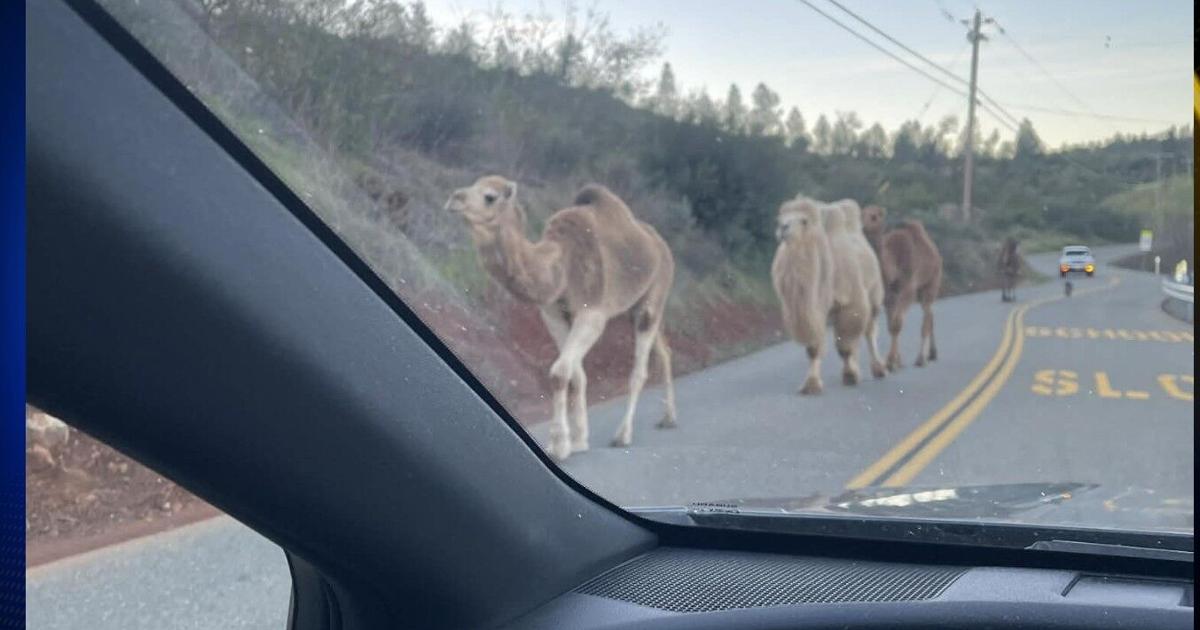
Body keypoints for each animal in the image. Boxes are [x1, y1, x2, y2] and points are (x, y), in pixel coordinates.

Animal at [445, 176, 677, 462]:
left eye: (489, 196)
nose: (454, 199)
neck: (561, 266)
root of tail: (661, 245)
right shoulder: (554, 314)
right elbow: (576, 375)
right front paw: (578, 440)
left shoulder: (592, 313)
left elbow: (559, 372)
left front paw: (558, 445)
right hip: (632, 307)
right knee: (664, 351)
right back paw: (668, 418)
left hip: (653, 297)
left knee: (639, 368)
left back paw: (623, 435)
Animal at [771, 196, 834, 394]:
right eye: (780, 220)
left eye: (803, 221)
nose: (783, 228)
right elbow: (810, 347)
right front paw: (810, 384)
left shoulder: (819, 303)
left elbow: (815, 345)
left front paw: (813, 384)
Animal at [861, 205, 943, 370]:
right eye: (861, 214)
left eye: (874, 216)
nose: (862, 227)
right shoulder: (889, 293)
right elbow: (891, 325)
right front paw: (895, 362)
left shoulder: (908, 287)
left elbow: (897, 323)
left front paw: (891, 362)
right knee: (929, 315)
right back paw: (932, 354)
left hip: (931, 282)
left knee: (927, 316)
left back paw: (921, 358)